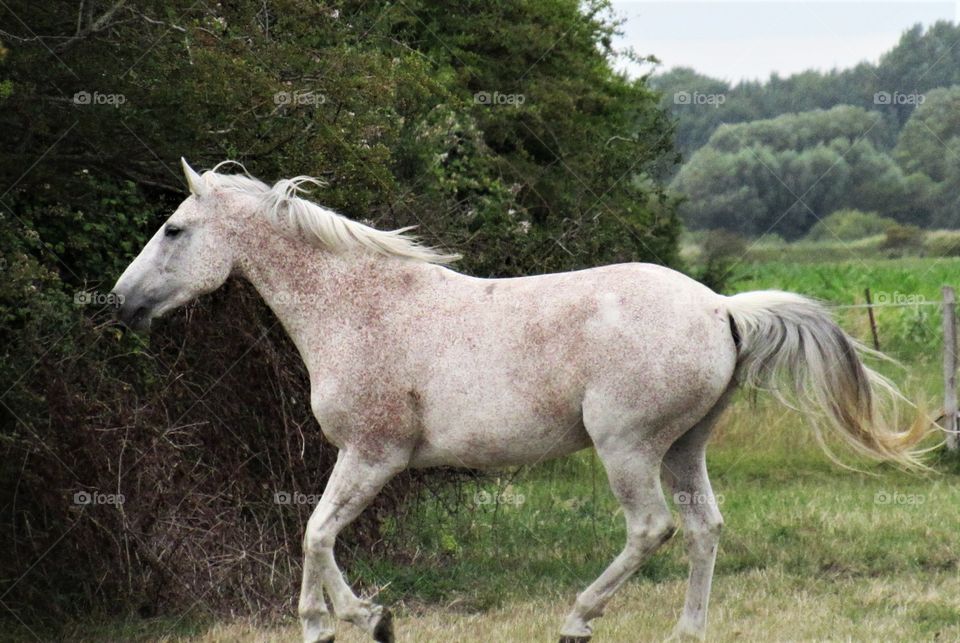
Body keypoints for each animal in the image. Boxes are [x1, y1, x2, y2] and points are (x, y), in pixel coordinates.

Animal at [112, 160, 928, 640]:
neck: (359, 305)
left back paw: (578, 618)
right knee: (704, 529)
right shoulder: (362, 457)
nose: (120, 302)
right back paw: (684, 633)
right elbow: (319, 533)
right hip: (685, 448)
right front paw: (360, 617)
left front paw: (336, 621)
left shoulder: (374, 453)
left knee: (652, 529)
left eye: (175, 229)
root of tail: (721, 307)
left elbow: (315, 532)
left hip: (628, 447)